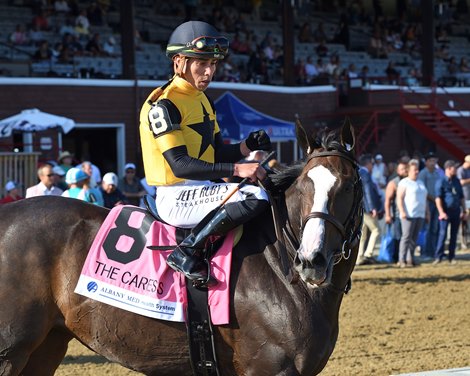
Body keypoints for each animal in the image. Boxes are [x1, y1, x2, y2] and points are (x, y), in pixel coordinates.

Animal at [0, 121, 364, 376]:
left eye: (349, 185)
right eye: (304, 186)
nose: (311, 260)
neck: (282, 265)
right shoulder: (269, 366)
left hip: (46, 345)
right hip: (11, 349)